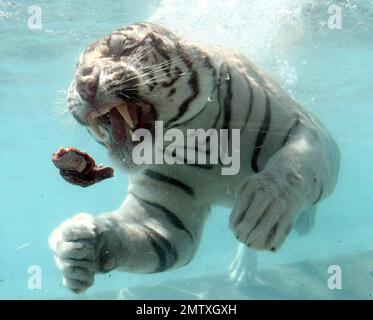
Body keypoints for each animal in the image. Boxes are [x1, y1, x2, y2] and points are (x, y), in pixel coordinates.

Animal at [49, 22, 340, 292]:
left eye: (125, 48)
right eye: (77, 68)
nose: (84, 84)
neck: (197, 136)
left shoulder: (306, 132)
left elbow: (292, 167)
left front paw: (265, 210)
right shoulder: (162, 213)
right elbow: (137, 234)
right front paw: (77, 247)